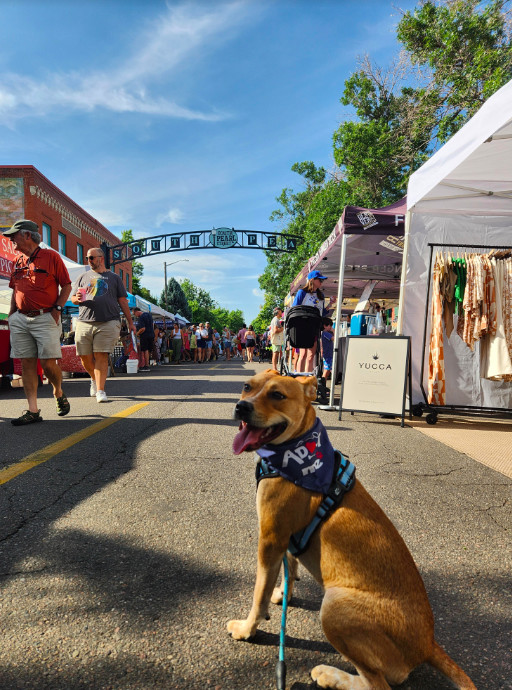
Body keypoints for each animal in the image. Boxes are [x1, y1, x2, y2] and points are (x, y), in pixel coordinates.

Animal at [228, 368, 476, 688]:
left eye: (277, 395)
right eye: (247, 387)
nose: (241, 407)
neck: (296, 454)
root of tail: (427, 645)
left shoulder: (269, 538)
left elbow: (258, 595)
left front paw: (248, 629)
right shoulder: (283, 537)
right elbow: (290, 567)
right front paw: (284, 593)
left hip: (334, 608)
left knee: (378, 683)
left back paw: (330, 674)